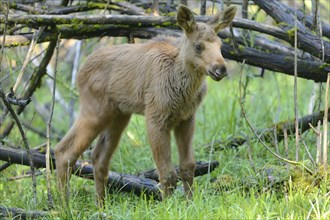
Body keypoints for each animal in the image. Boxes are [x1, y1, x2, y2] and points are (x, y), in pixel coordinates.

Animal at [54, 4, 236, 205]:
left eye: (220, 45)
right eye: (198, 46)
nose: (221, 68)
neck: (184, 88)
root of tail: (80, 71)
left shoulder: (187, 118)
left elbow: (188, 167)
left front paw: (190, 203)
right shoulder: (156, 116)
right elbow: (167, 173)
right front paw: (169, 206)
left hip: (119, 115)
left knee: (98, 157)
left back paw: (100, 205)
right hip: (95, 110)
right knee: (63, 151)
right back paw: (64, 205)